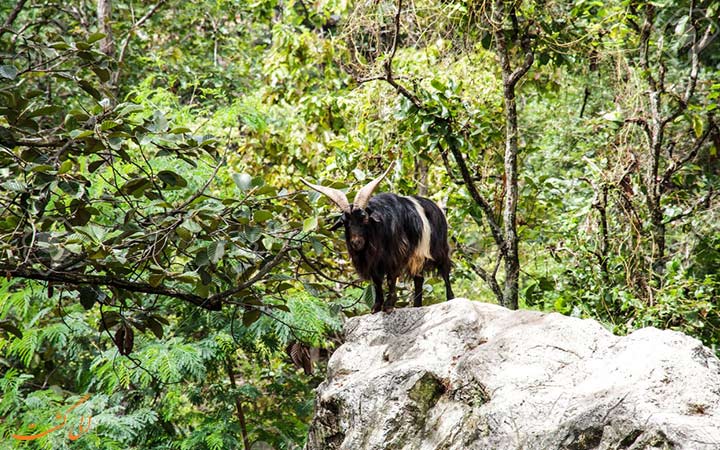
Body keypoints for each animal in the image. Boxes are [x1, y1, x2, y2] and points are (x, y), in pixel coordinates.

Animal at [300, 164, 452, 312]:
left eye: (365, 219)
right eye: (344, 222)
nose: (356, 242)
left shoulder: (395, 255)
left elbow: (391, 279)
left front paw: (389, 306)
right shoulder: (373, 262)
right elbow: (377, 282)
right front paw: (376, 306)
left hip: (439, 250)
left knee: (445, 270)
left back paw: (450, 298)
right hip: (417, 255)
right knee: (419, 279)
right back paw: (417, 306)